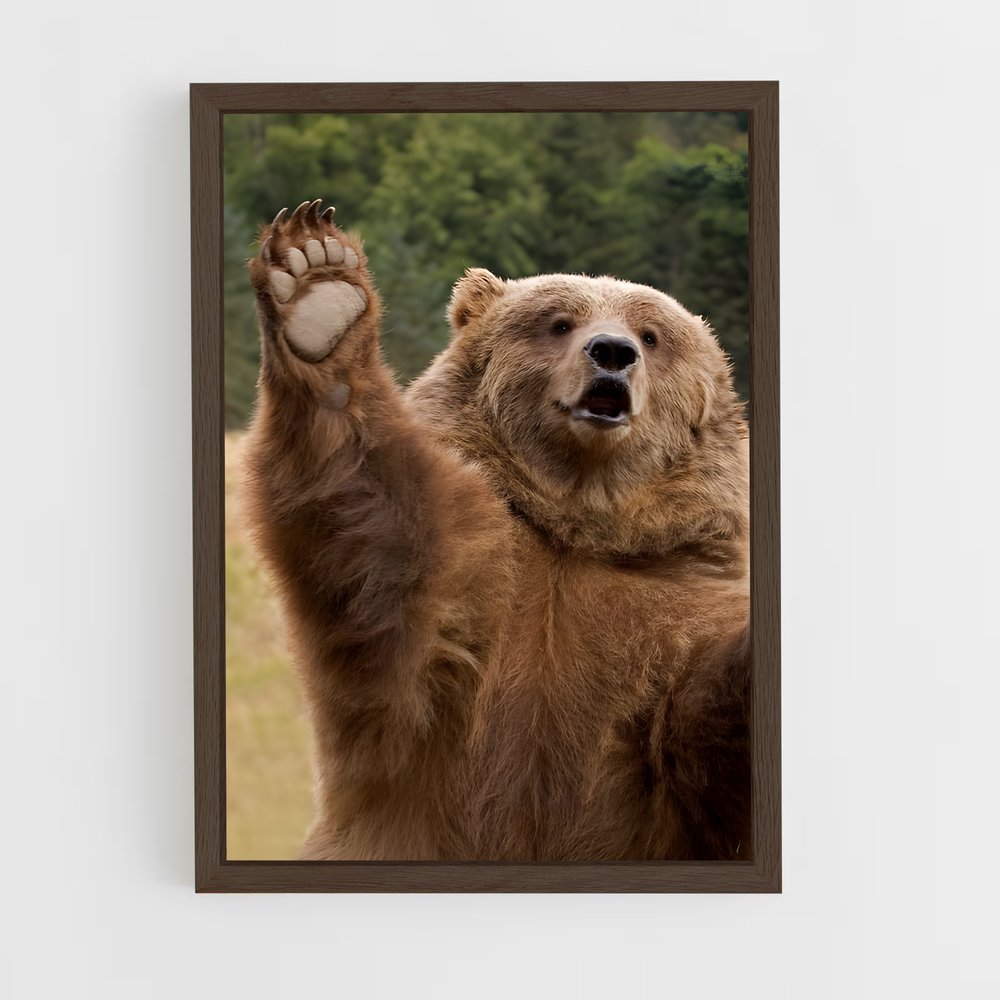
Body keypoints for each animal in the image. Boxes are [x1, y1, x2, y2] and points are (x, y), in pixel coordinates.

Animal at [242, 198, 751, 862]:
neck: (576, 525)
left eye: (652, 335)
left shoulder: (674, 592)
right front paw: (318, 288)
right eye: (559, 323)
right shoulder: (469, 582)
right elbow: (375, 531)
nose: (612, 352)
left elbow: (698, 724)